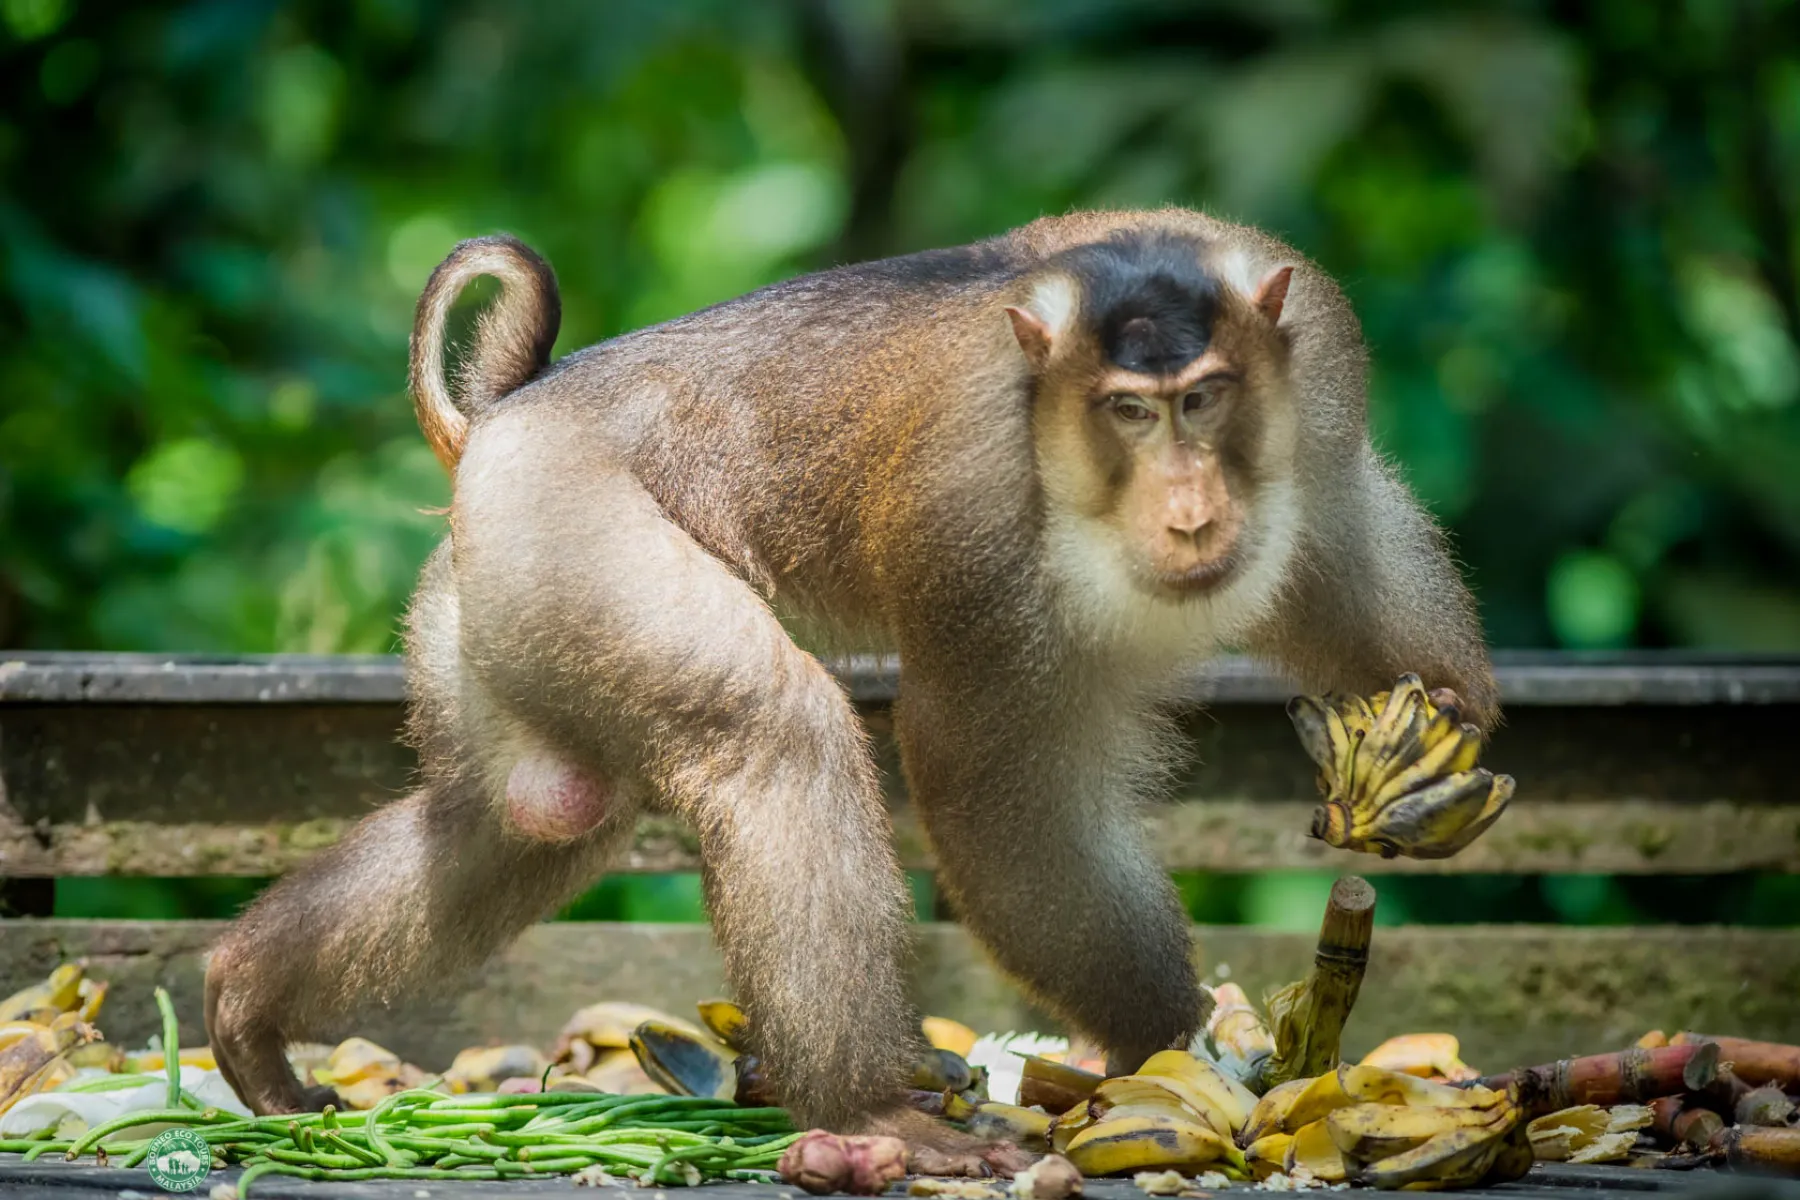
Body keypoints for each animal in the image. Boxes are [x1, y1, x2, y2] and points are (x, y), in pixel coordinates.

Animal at [203, 206, 1498, 1175]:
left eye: (1207, 399)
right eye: (1131, 411)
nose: (1191, 512)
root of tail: (514, 409)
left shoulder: (1321, 370)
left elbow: (1342, 545)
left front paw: (1444, 733)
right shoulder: (976, 520)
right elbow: (988, 793)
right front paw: (1167, 1043)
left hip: (496, 582)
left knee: (529, 811)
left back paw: (247, 1003)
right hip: (568, 530)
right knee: (767, 739)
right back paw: (864, 1109)